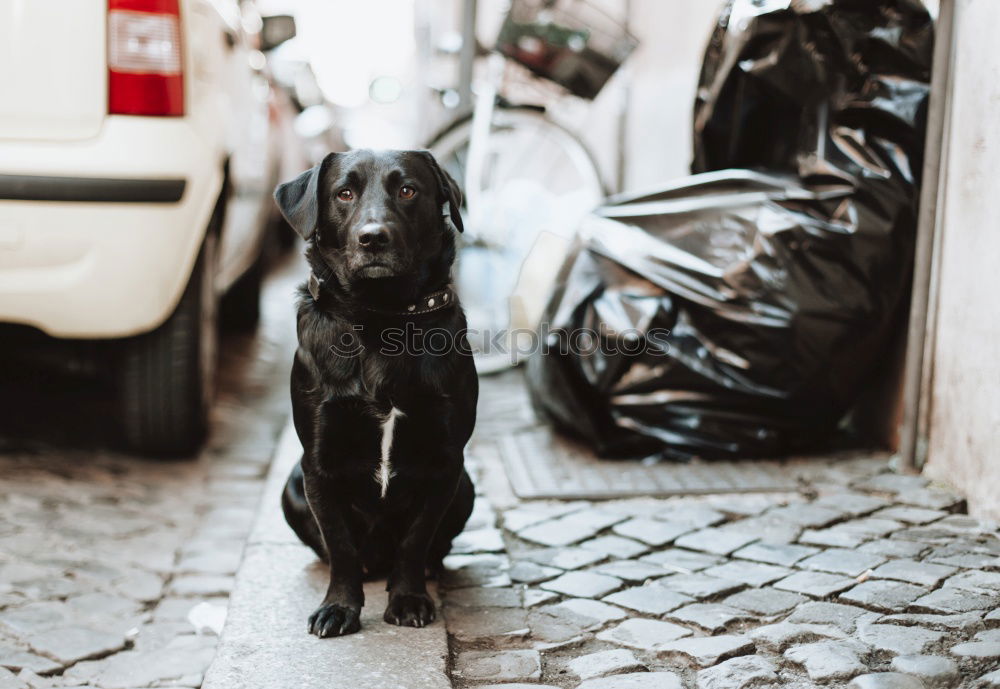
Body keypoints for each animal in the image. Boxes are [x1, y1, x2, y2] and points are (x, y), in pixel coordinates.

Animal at [274, 149, 476, 636]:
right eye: (344, 193)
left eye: (408, 190)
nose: (372, 238)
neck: (381, 319)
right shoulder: (317, 465)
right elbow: (341, 547)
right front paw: (339, 607)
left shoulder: (447, 463)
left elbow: (415, 540)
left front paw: (408, 598)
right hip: (290, 488)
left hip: (467, 485)